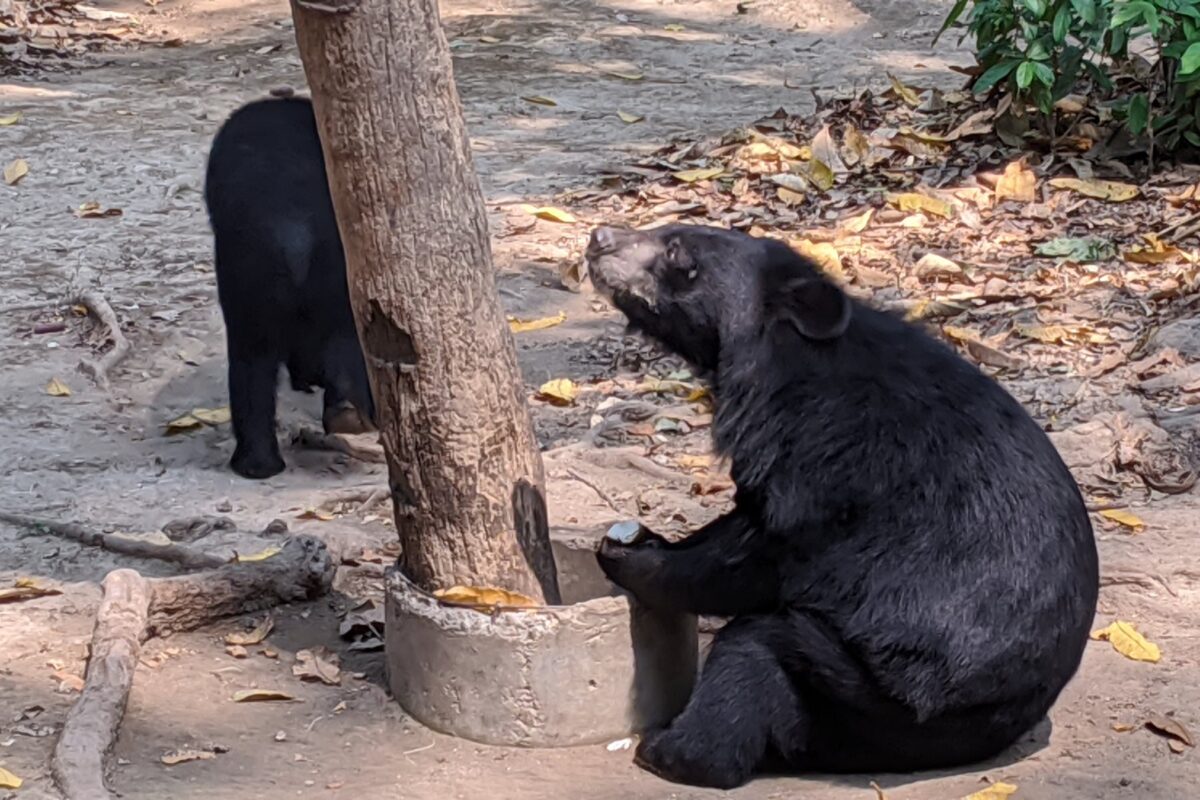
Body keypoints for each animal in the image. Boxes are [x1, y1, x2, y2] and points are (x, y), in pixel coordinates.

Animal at [586, 223, 1099, 789]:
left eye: (678, 254)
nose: (599, 237)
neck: (783, 354)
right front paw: (642, 537)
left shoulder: (821, 466)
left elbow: (755, 563)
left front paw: (628, 557)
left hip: (863, 701)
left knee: (753, 654)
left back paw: (668, 752)